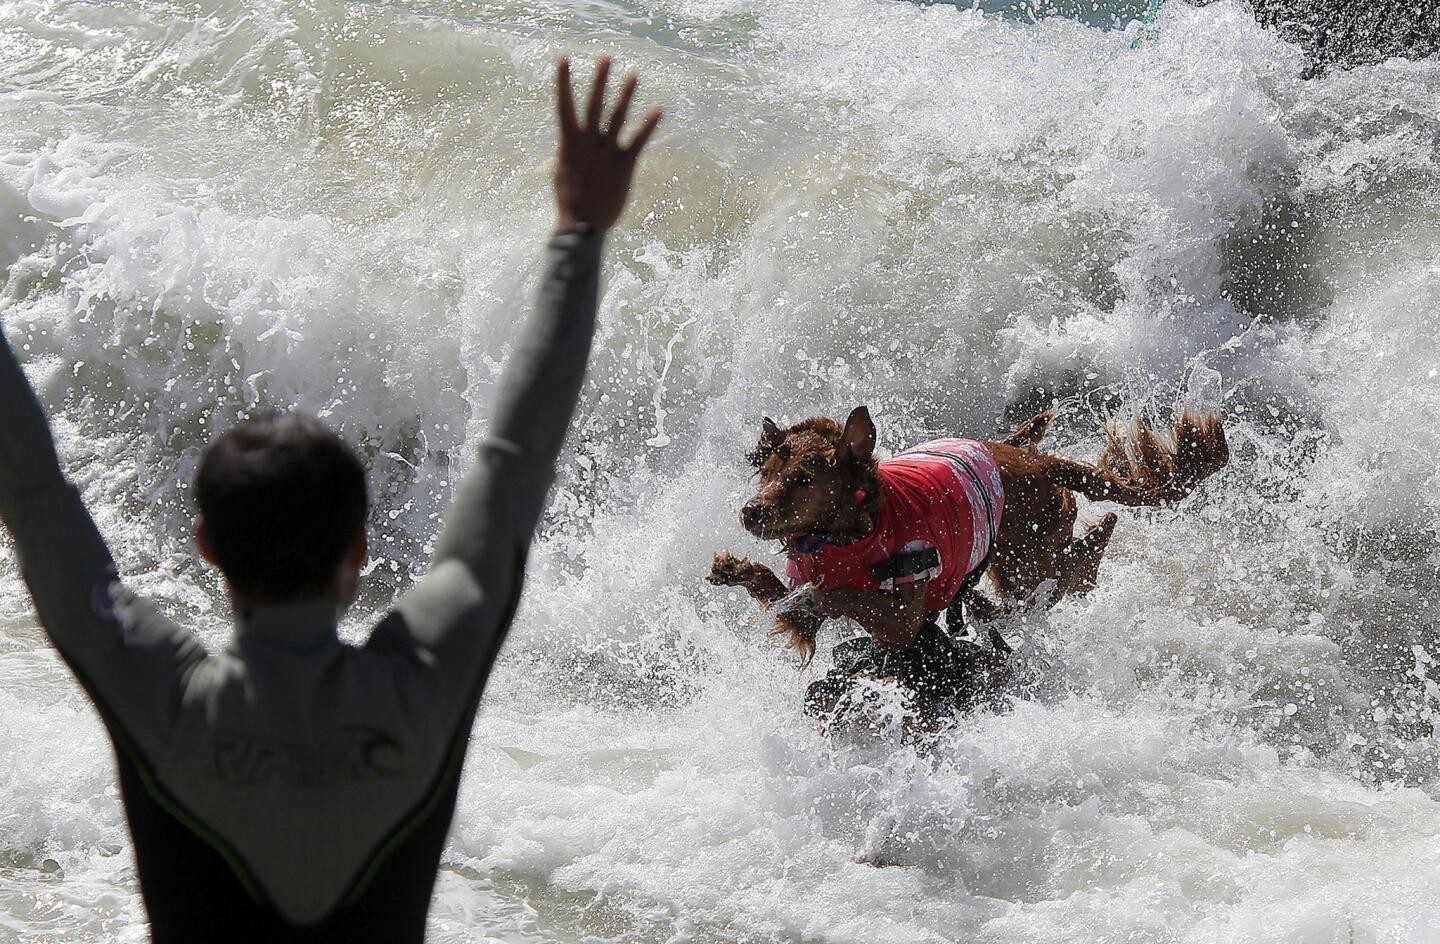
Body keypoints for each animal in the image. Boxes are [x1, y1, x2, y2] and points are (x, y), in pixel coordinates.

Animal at [708, 402, 1226, 716]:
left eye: (802, 480)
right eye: (766, 472)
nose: (750, 512)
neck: (854, 532)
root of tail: (1038, 460)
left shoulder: (900, 618)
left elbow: (841, 596)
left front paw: (817, 594)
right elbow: (789, 597)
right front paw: (737, 570)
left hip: (1027, 556)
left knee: (1072, 568)